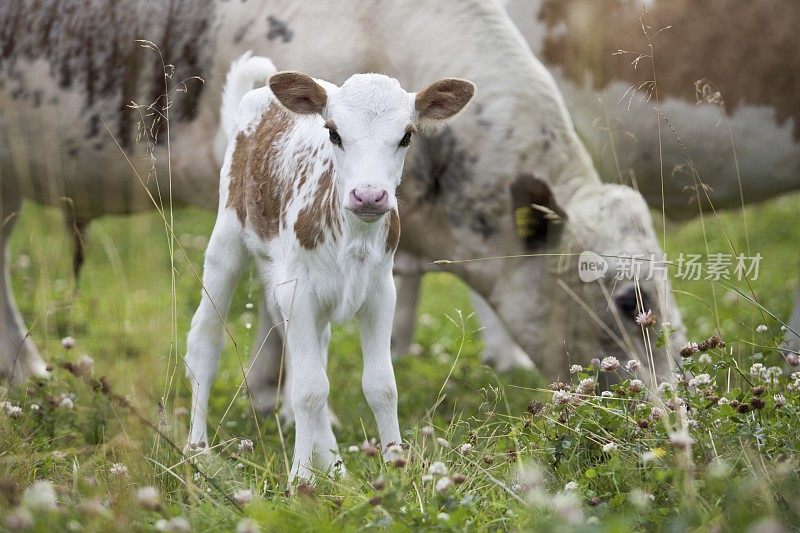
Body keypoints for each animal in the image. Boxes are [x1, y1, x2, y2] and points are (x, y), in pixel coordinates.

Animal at [186, 53, 476, 478]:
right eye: (334, 133)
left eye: (406, 136)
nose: (369, 196)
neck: (354, 240)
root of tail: (261, 95)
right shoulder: (299, 292)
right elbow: (309, 389)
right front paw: (300, 479)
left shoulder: (379, 293)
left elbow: (380, 385)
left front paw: (395, 466)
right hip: (228, 239)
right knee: (204, 341)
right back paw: (198, 450)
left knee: (310, 350)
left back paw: (334, 463)